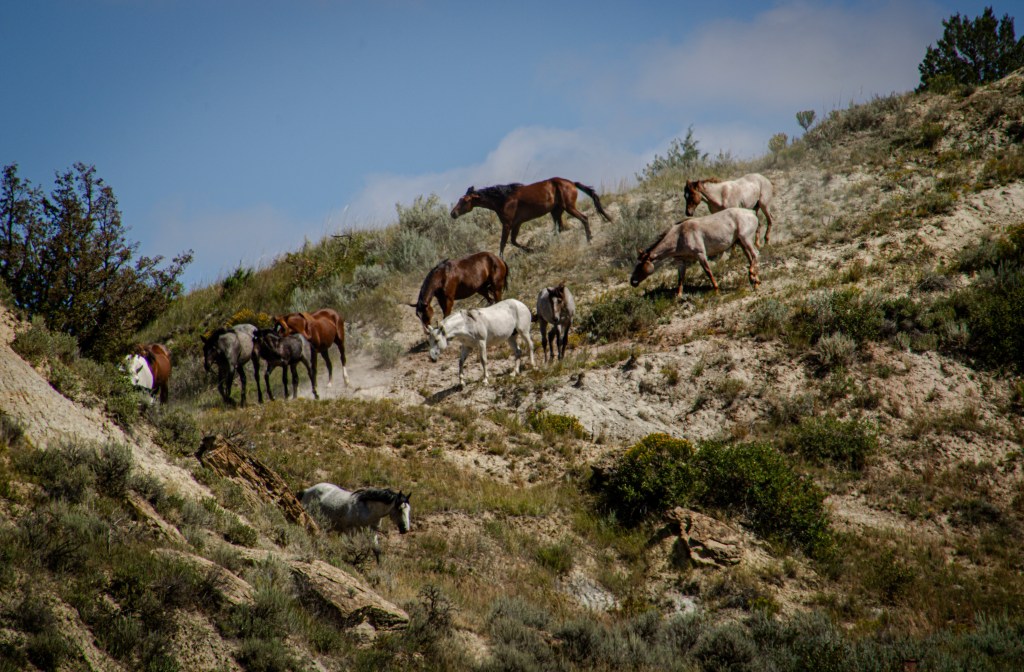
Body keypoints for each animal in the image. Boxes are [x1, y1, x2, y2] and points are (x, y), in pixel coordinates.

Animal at [450, 177, 612, 257]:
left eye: (465, 200)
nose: (453, 213)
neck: (503, 199)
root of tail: (572, 183)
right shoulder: (516, 224)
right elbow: (514, 241)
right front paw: (532, 249)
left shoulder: (507, 225)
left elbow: (503, 244)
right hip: (556, 211)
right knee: (559, 229)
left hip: (569, 207)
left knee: (584, 219)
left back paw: (589, 240)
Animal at [630, 208, 761, 297]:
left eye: (640, 265)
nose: (632, 281)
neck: (679, 235)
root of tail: (751, 212)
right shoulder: (681, 261)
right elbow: (680, 278)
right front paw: (678, 296)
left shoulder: (700, 254)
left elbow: (708, 272)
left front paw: (716, 290)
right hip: (741, 242)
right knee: (751, 258)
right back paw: (755, 281)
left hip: (746, 239)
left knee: (755, 254)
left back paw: (752, 275)